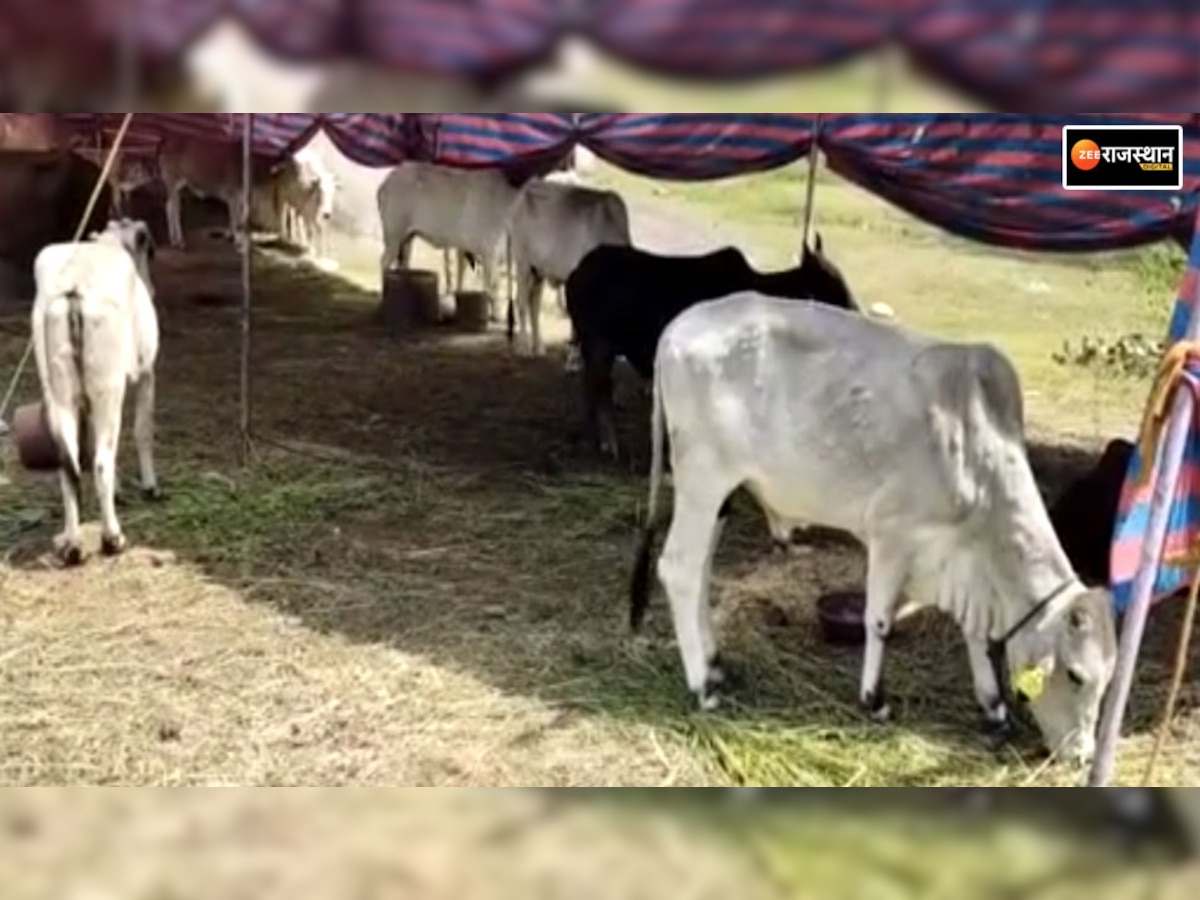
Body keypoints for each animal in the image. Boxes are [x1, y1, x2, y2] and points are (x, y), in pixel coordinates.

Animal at [31, 219, 162, 566]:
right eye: (150, 251)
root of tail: (74, 289)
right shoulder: (146, 373)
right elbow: (143, 430)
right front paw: (150, 486)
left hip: (58, 389)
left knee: (69, 462)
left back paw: (73, 544)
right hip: (108, 388)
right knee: (103, 460)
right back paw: (112, 538)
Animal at [633, 296, 1118, 768]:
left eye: (1108, 681)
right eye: (1076, 675)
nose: (1081, 757)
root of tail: (679, 325)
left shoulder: (963, 564)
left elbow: (975, 635)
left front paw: (994, 710)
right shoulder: (891, 533)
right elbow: (879, 620)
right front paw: (874, 700)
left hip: (722, 495)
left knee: (700, 571)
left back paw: (716, 663)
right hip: (703, 479)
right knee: (680, 568)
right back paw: (703, 686)